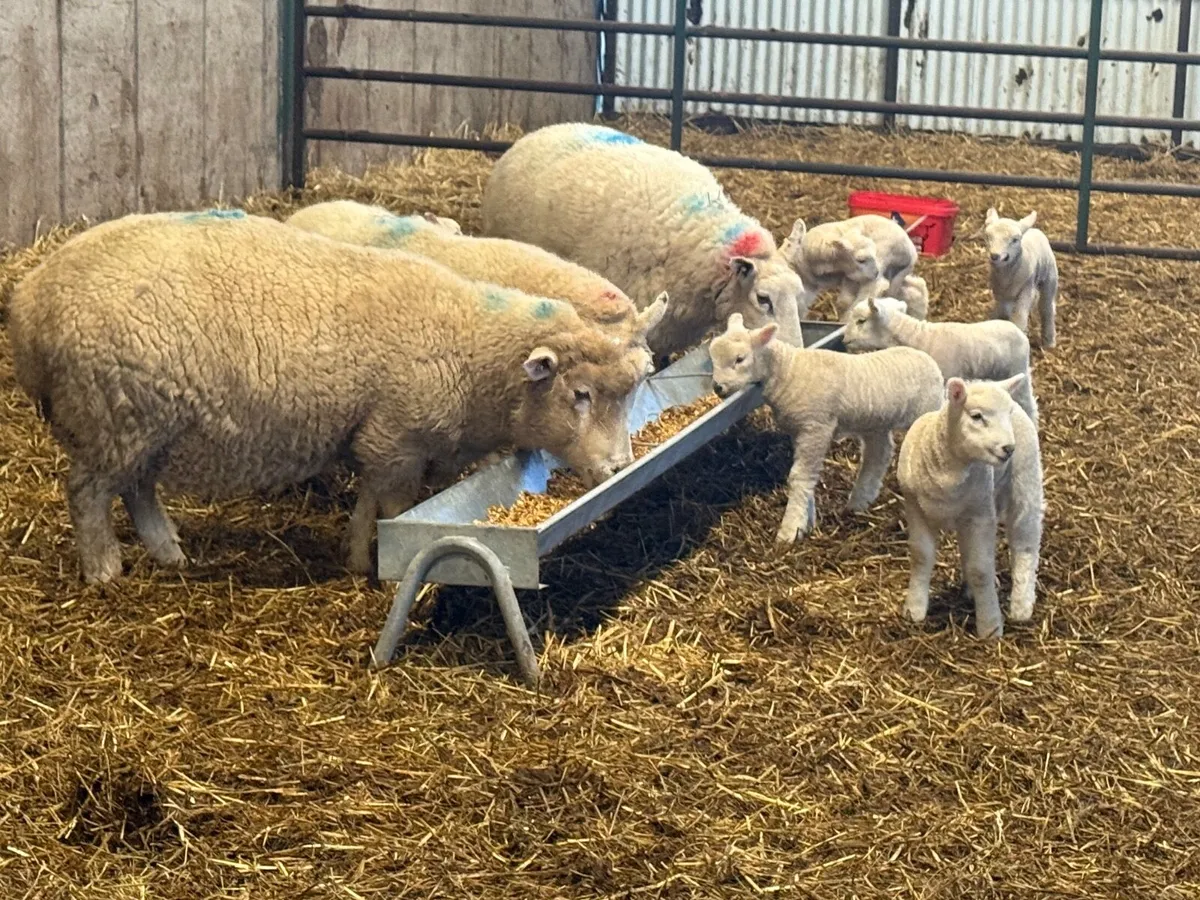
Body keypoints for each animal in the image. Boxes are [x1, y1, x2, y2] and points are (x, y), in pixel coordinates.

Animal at [709, 313, 944, 543]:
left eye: (739, 359)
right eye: (713, 358)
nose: (717, 387)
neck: (789, 370)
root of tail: (929, 361)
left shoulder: (816, 427)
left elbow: (799, 477)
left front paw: (788, 531)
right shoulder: (800, 431)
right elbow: (807, 477)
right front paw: (806, 523)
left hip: (924, 412)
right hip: (875, 422)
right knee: (879, 454)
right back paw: (859, 502)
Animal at [781, 214, 918, 318]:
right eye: (861, 260)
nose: (876, 273)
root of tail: (912, 251)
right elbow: (844, 300)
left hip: (883, 255)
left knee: (875, 287)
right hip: (895, 272)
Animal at [842, 296, 1038, 425]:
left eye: (861, 321)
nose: (844, 340)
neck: (919, 339)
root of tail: (1020, 332)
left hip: (1017, 368)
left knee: (1029, 404)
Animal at [897, 375, 1044, 639]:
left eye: (1007, 413)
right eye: (976, 416)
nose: (1008, 448)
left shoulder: (980, 514)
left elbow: (981, 569)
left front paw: (990, 626)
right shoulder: (915, 508)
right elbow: (921, 556)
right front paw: (914, 609)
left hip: (1025, 481)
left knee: (1026, 543)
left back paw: (1021, 606)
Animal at [984, 208, 1058, 348]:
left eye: (1014, 240)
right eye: (988, 237)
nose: (994, 256)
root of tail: (1033, 229)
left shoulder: (1027, 287)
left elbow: (1019, 317)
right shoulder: (1000, 293)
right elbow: (1003, 312)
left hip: (1050, 276)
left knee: (1046, 307)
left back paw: (1049, 340)